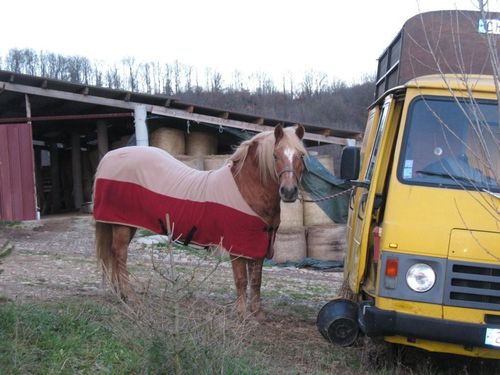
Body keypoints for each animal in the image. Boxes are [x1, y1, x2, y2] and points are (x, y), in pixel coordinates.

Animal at [92, 125, 306, 318]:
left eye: (301, 156)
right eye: (275, 155)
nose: (289, 192)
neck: (246, 189)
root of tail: (109, 157)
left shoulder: (259, 244)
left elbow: (256, 280)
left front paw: (257, 313)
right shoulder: (238, 246)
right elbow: (241, 280)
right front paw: (242, 314)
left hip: (127, 224)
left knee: (114, 254)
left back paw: (120, 295)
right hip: (121, 224)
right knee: (120, 255)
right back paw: (131, 297)